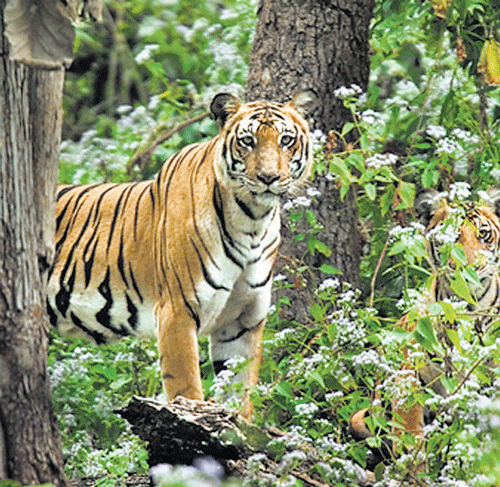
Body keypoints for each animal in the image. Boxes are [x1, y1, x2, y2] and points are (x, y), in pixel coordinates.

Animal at [46, 91, 312, 420]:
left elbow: (241, 394)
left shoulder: (243, 321)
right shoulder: (177, 311)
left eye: (286, 140)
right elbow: (186, 387)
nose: (268, 177)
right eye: (247, 141)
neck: (252, 221)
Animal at [350, 188, 500, 472]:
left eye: (484, 234)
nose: (469, 268)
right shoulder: (408, 374)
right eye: (450, 236)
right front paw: (414, 472)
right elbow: (410, 435)